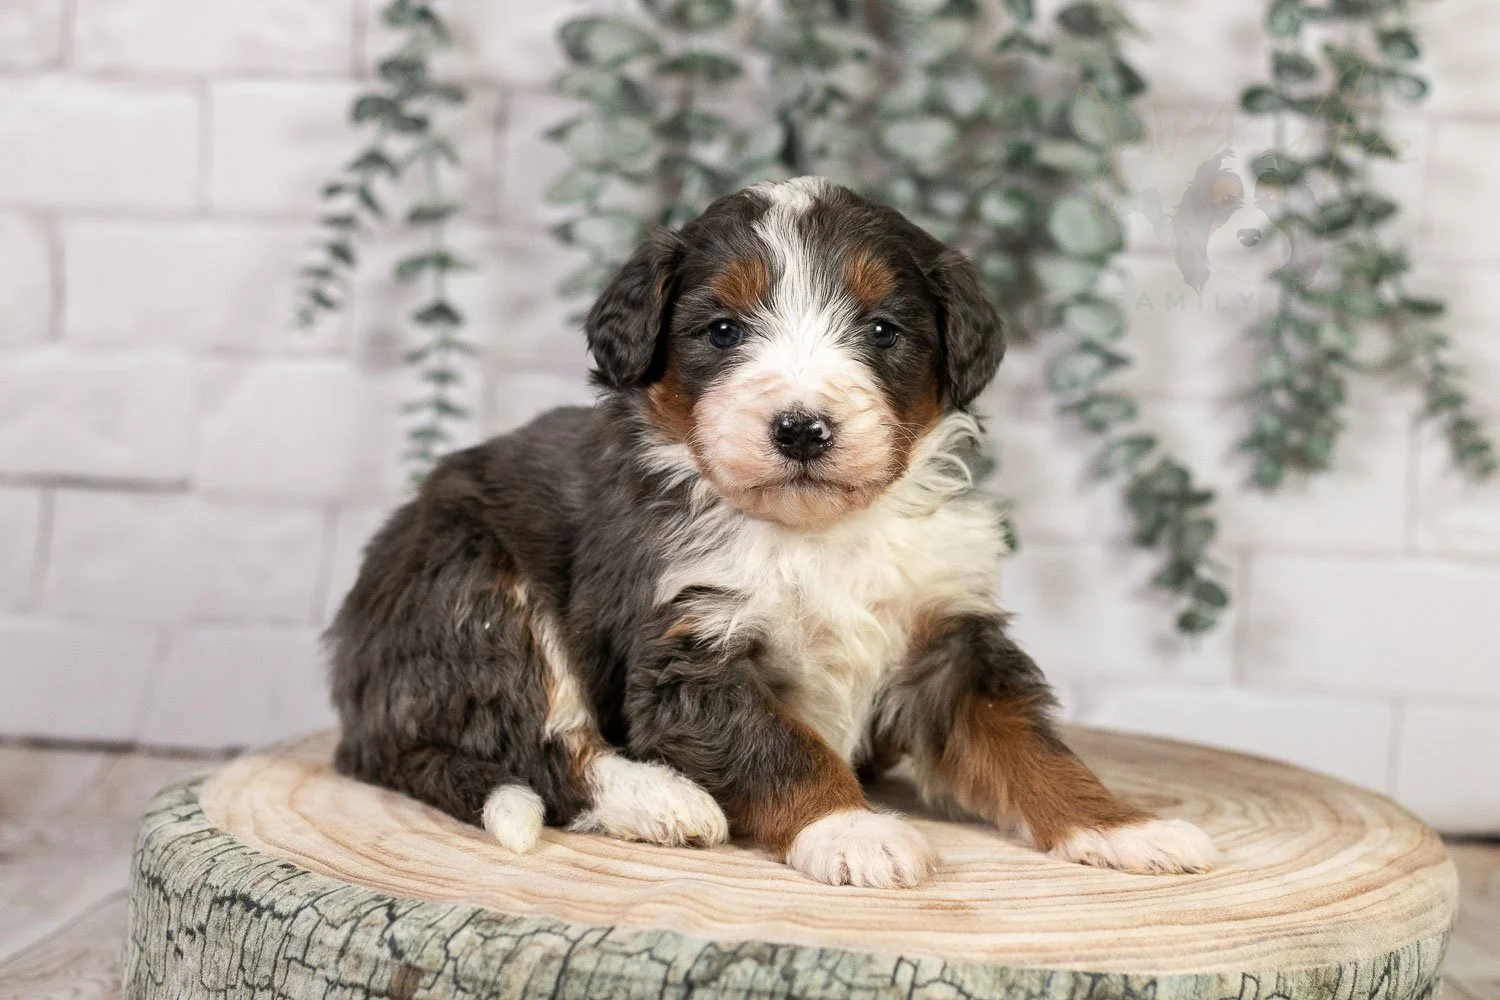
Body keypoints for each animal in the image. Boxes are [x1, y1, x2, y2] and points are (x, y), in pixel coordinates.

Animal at [327, 177, 1218, 888]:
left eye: (882, 330)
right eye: (723, 330)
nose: (801, 428)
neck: (819, 535)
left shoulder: (949, 645)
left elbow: (1032, 747)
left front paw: (1121, 826)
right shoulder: (689, 648)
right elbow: (783, 749)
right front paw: (852, 831)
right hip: (477, 588)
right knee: (543, 745)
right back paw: (661, 801)